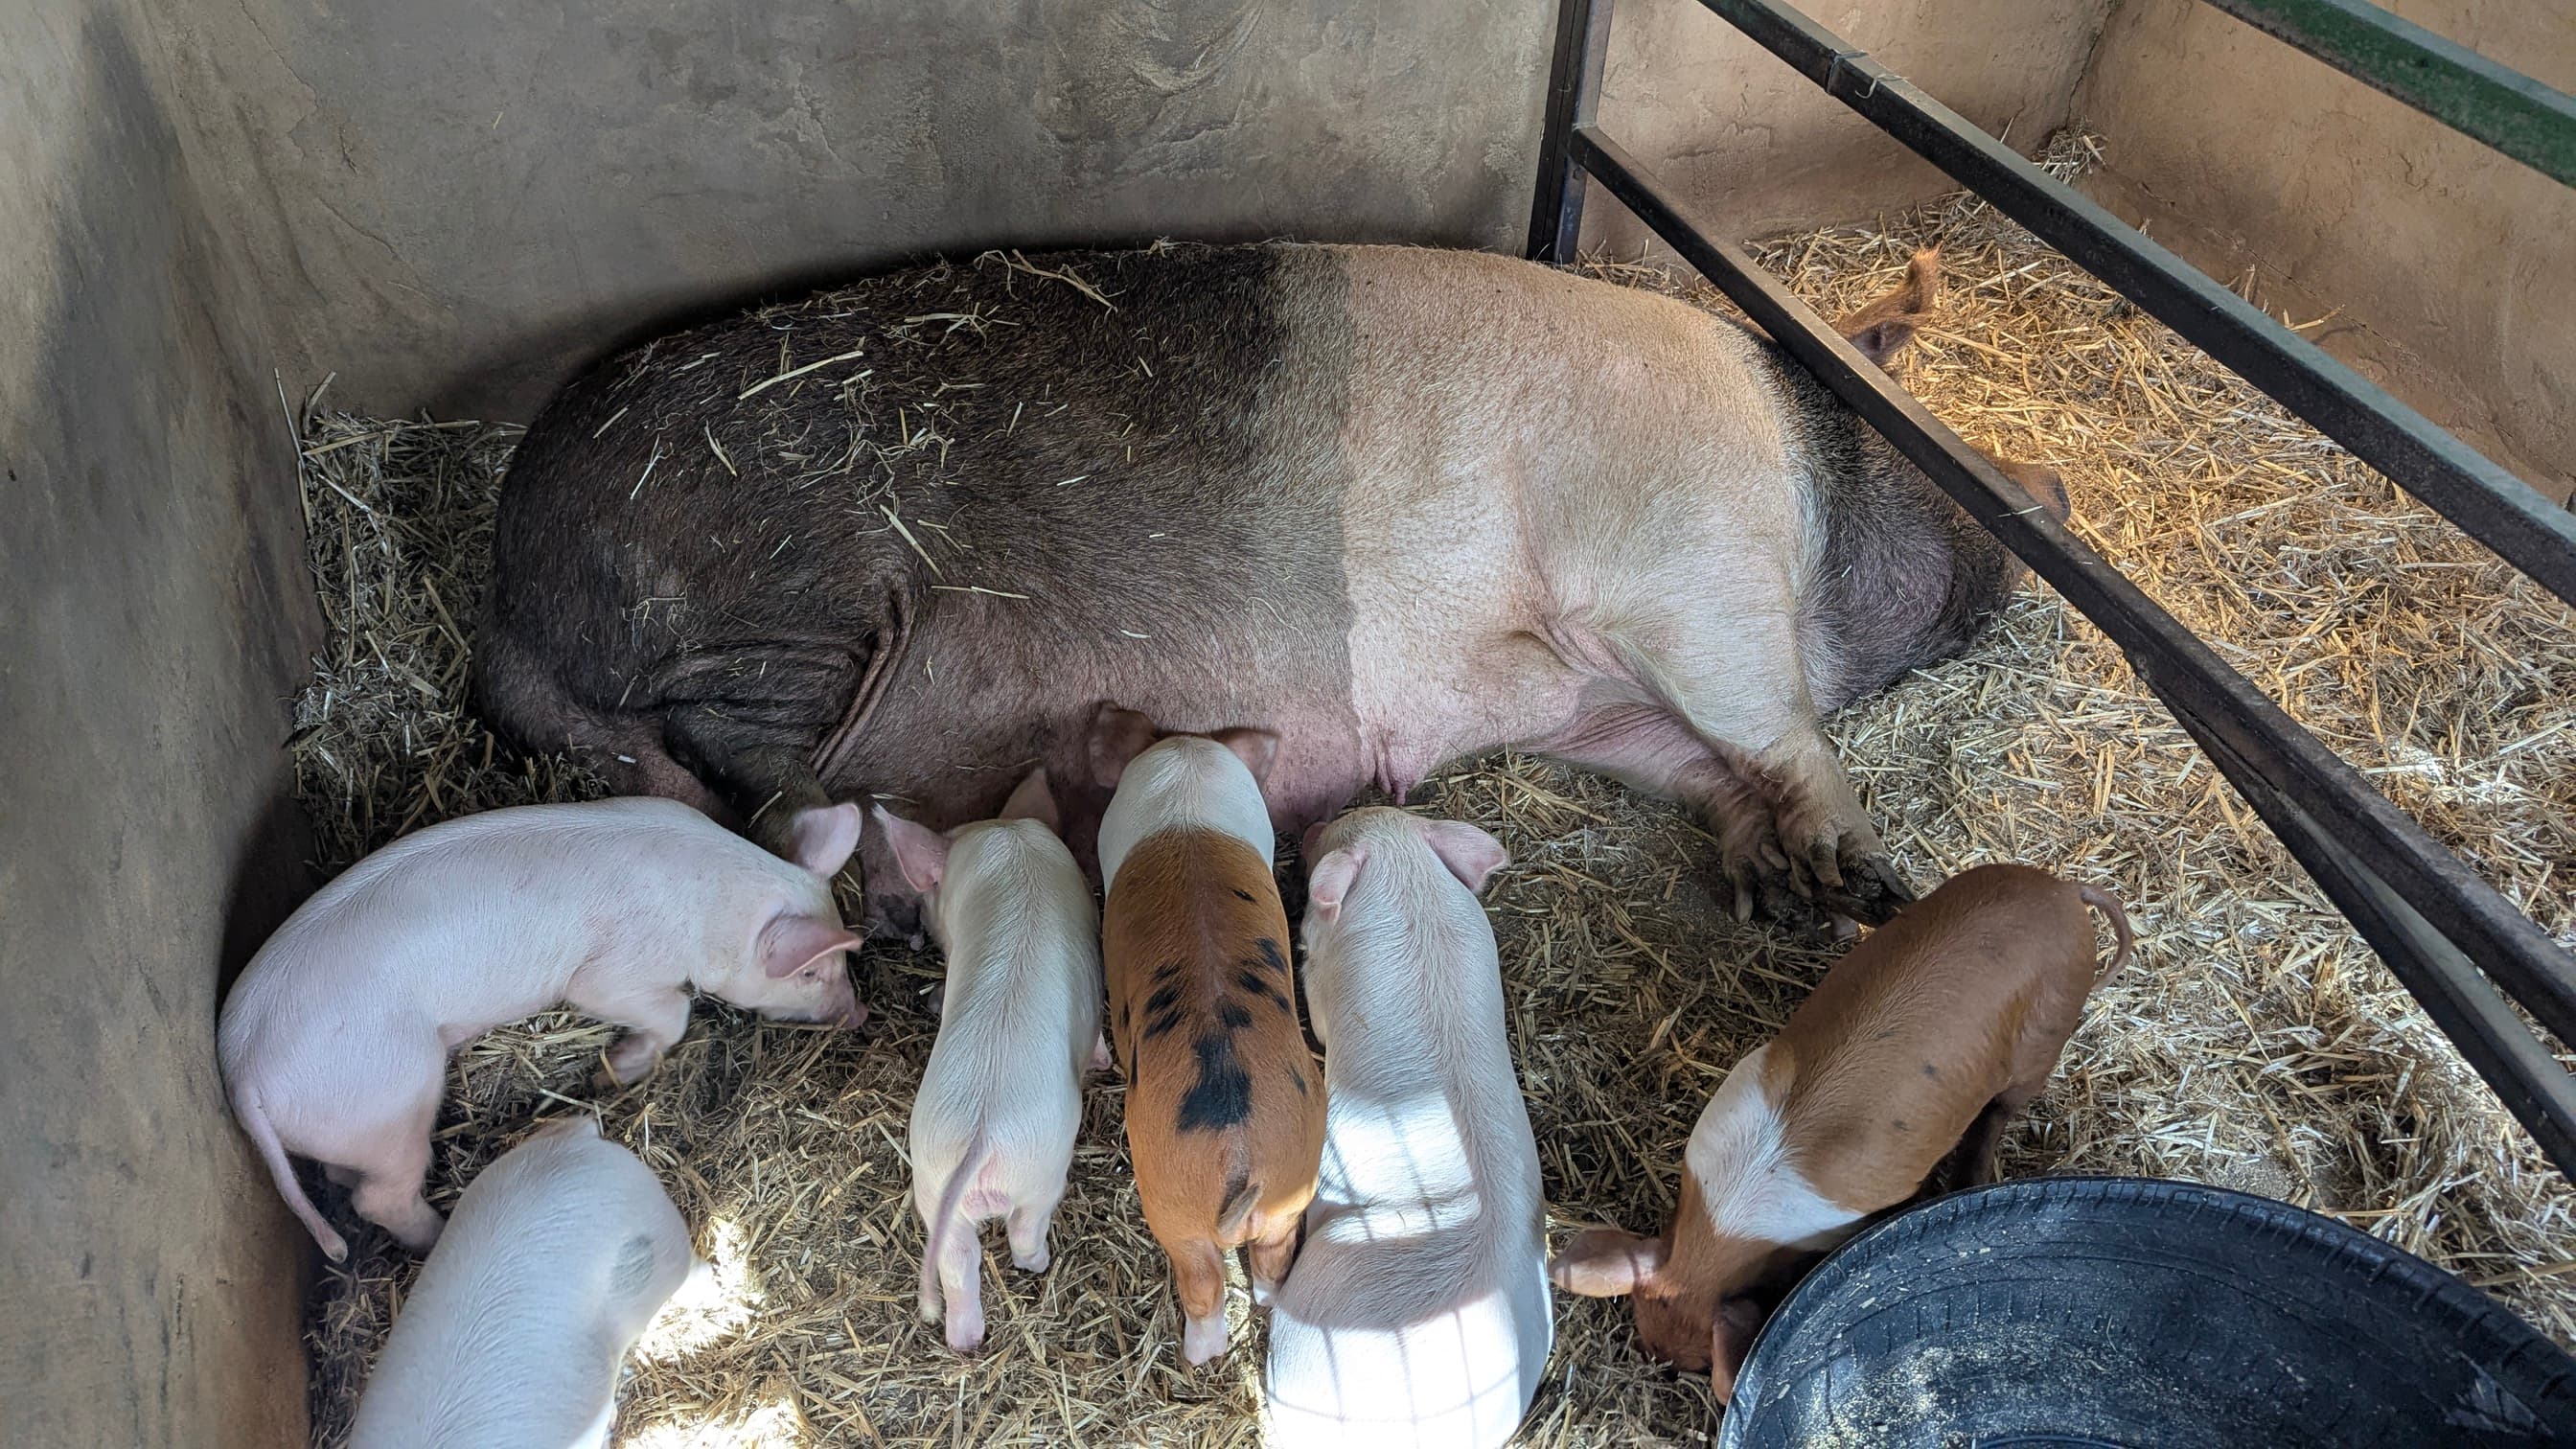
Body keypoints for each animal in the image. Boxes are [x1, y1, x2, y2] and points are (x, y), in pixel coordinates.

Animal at [218, 795, 866, 1261]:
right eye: (814, 971)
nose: (857, 1013)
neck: (718, 905)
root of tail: (241, 1068)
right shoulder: (612, 975)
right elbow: (668, 1011)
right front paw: (612, 1077)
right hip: (388, 1098)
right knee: (377, 1197)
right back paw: (440, 1236)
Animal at [476, 243, 2068, 937]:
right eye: (1931, 432)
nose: (2052, 491)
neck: (1798, 474)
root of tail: (501, 603)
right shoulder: (1689, 573)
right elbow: (1777, 721)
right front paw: (1866, 873)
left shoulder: (1594, 703)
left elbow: (1709, 766)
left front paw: (1789, 895)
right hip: (778, 609)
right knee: (753, 762)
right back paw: (878, 896)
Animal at [873, 769, 1104, 1353]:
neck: (1011, 847)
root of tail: (982, 1135)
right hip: (1041, 1172)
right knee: (1022, 1231)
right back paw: (1038, 1264)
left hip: (932, 1179)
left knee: (958, 1260)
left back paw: (963, 1340)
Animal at [1093, 707, 1327, 1365]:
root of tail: (1239, 1152)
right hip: (1292, 1183)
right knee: (1272, 1263)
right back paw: (1268, 1304)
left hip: (1171, 1203)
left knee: (1203, 1284)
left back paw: (1196, 1354)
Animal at [1549, 862, 2135, 1399]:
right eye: (1644, 1330)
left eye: (1696, 1361)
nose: (1661, 1366)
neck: (1734, 1215)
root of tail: (2065, 890)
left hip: (2045, 1037)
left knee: (2000, 1110)